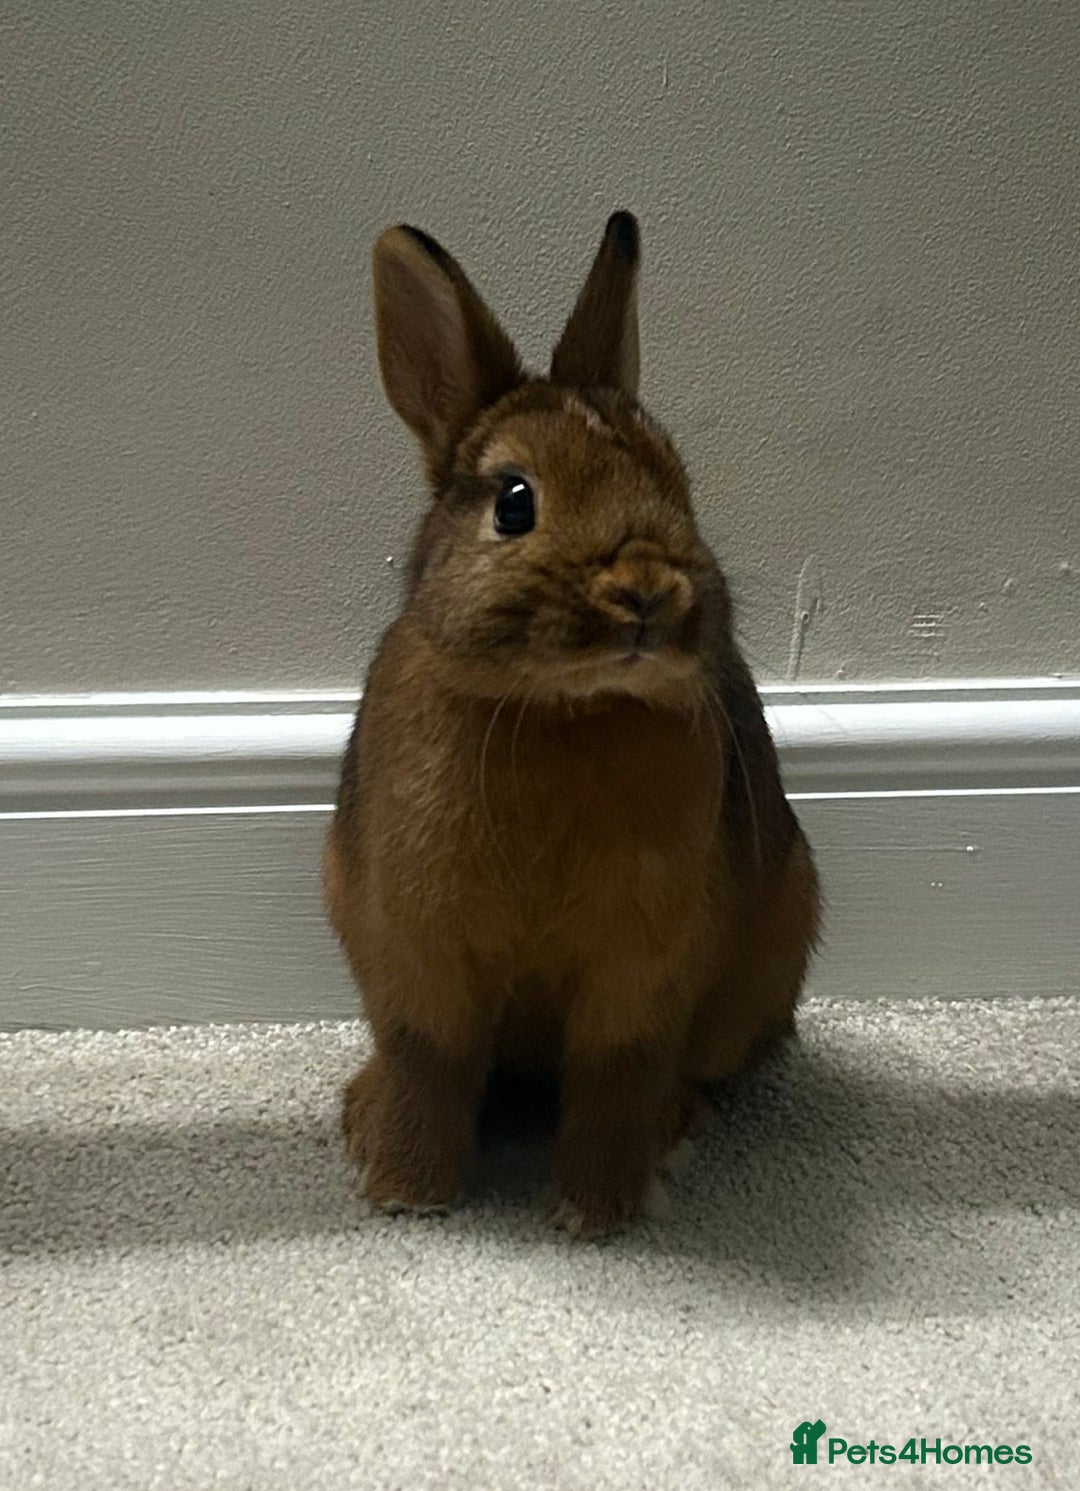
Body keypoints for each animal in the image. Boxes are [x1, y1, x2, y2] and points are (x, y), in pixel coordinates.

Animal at [324, 211, 821, 1239]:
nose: (647, 591)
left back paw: (676, 1127)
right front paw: (406, 1190)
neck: (564, 708)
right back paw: (361, 1110)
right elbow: (429, 1062)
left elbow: (615, 1078)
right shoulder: (417, 954)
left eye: (678, 481)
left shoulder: (639, 974)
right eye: (515, 501)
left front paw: (596, 1210)